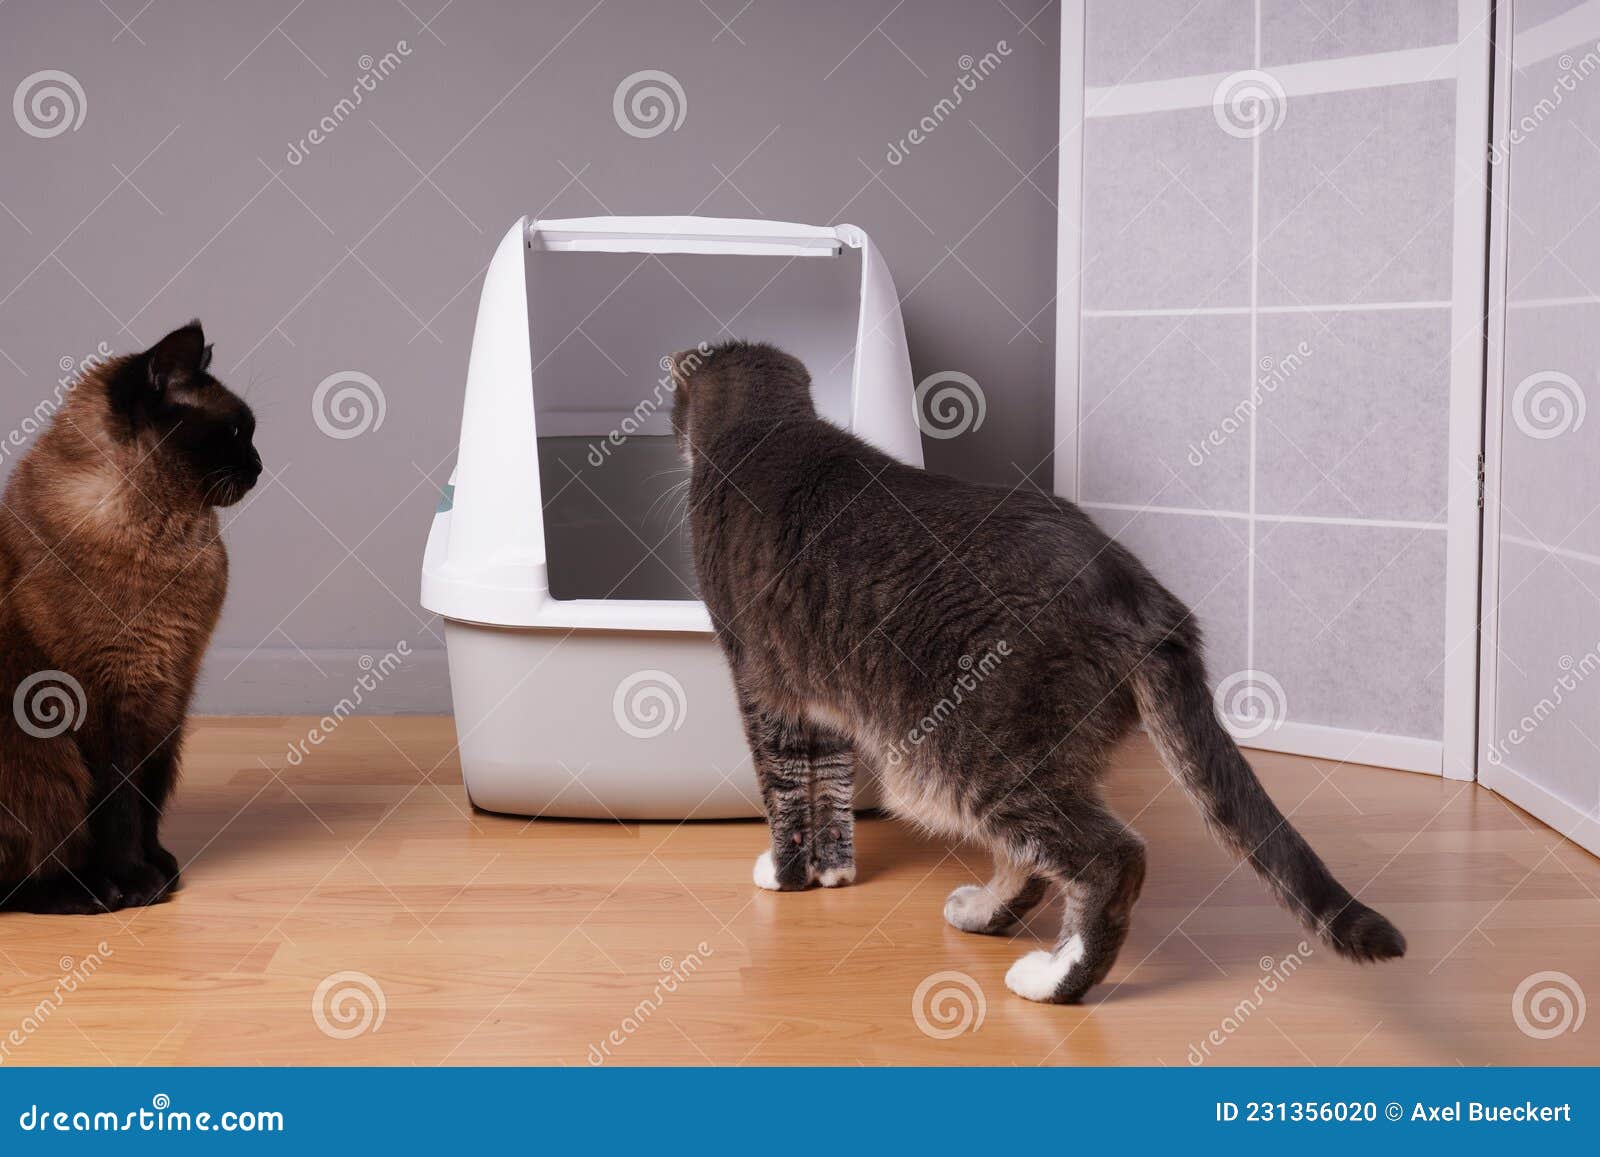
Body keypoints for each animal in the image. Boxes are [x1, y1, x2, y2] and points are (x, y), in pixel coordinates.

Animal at [668, 339, 1408, 998]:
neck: (767, 429)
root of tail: (1143, 594)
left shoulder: (760, 682)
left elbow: (786, 785)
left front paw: (786, 874)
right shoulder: (815, 696)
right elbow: (829, 782)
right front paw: (834, 873)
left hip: (969, 753)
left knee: (1110, 858)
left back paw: (1054, 979)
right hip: (1028, 753)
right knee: (1030, 858)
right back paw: (983, 915)